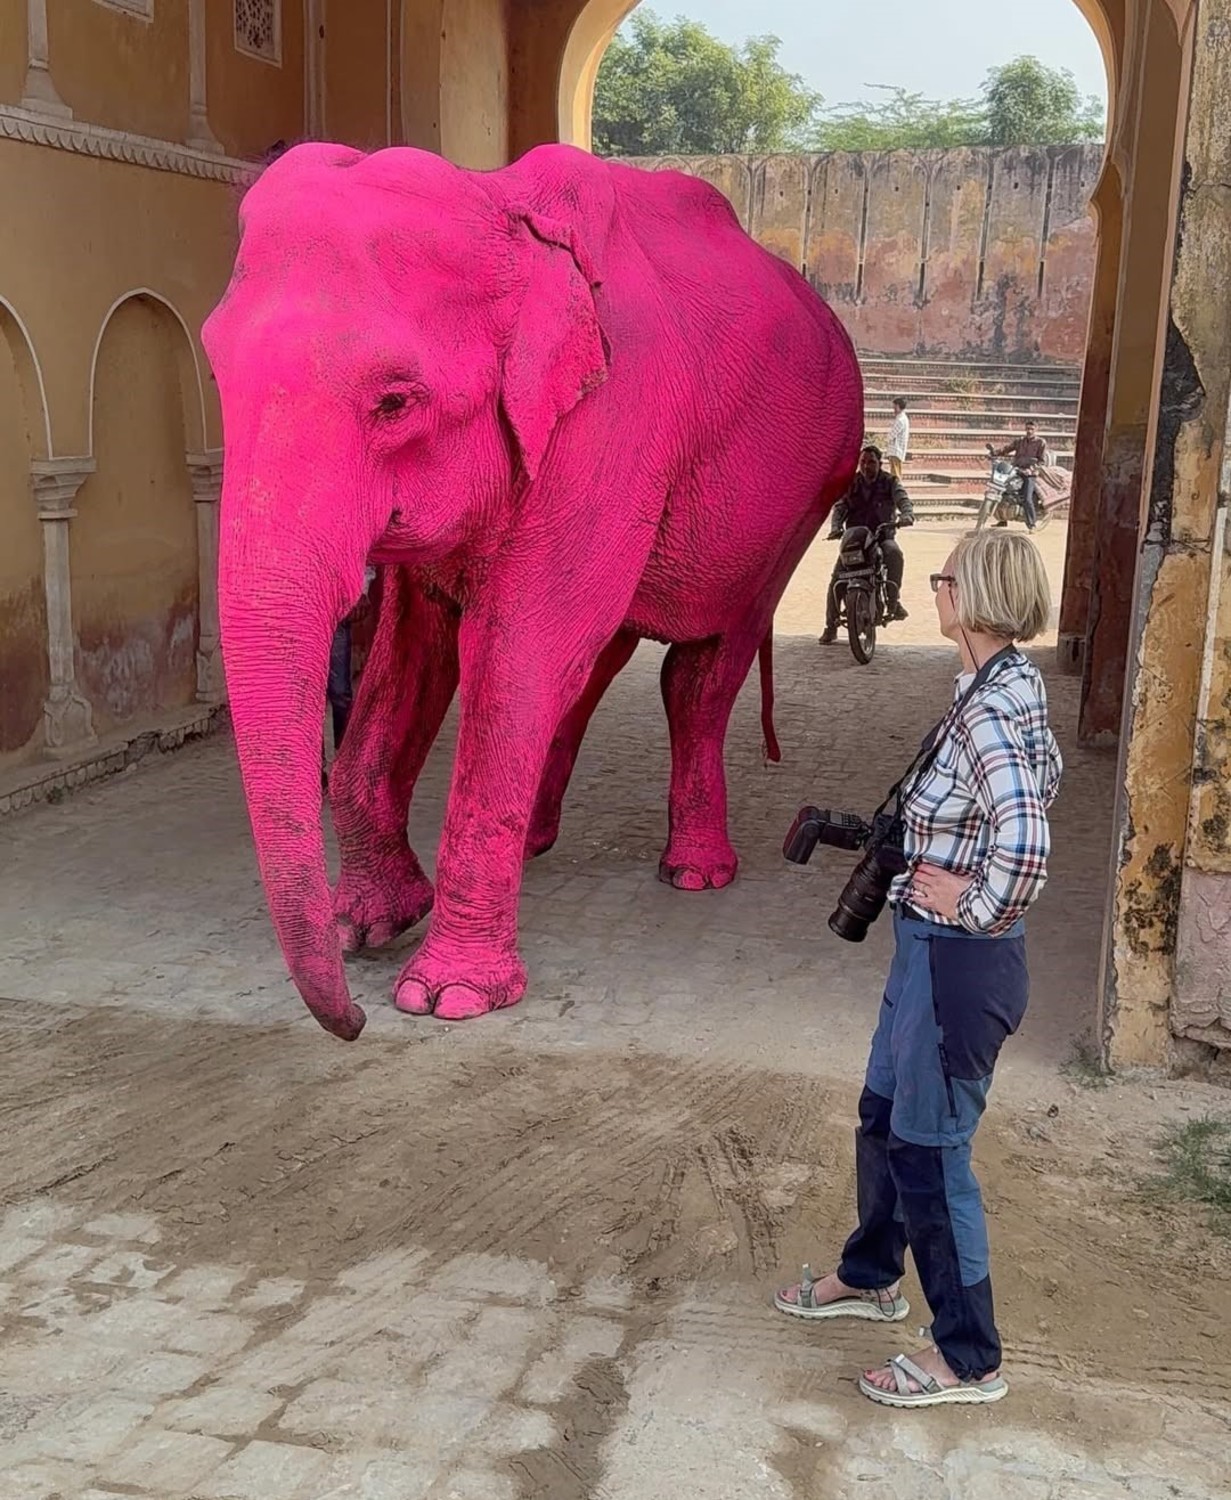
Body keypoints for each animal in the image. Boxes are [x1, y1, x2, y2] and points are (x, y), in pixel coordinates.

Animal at [203, 141, 863, 1041]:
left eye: (395, 402)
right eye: (215, 373)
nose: (352, 1022)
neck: (500, 205)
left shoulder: (611, 423)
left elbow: (515, 652)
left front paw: (446, 997)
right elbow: (415, 653)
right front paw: (363, 928)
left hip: (807, 494)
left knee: (700, 668)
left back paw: (694, 873)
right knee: (596, 664)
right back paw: (538, 846)